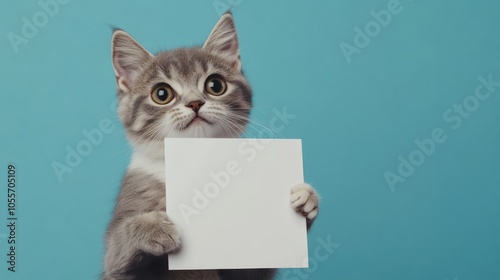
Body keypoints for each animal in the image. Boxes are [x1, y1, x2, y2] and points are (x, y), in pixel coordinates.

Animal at [102, 11, 320, 280]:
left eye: (215, 85)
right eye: (161, 94)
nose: (195, 102)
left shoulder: (245, 271)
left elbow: (250, 268)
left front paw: (307, 198)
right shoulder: (114, 265)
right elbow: (119, 244)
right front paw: (153, 227)